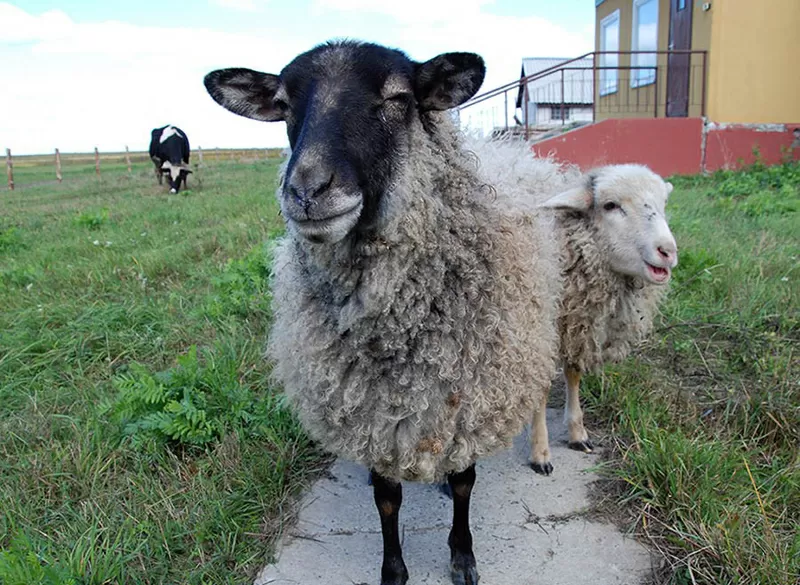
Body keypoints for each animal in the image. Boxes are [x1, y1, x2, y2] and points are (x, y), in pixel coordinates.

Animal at [205, 41, 564, 584]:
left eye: (398, 99)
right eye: (284, 106)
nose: (307, 191)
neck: (399, 329)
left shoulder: (469, 392)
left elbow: (465, 482)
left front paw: (463, 557)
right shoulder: (370, 408)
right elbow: (387, 499)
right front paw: (393, 570)